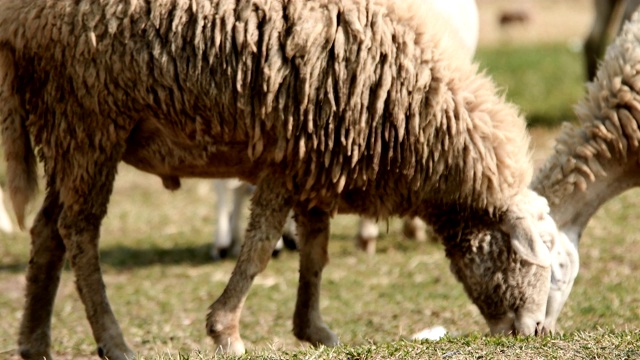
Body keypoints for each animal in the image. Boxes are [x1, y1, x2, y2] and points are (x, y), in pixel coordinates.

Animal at [0, 0, 556, 358]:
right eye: (528, 254)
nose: (532, 331)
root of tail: (18, 18)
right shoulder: (288, 158)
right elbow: (260, 249)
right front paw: (226, 331)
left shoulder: (316, 162)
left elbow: (315, 251)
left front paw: (314, 329)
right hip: (89, 120)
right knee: (80, 232)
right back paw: (113, 342)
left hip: (68, 131)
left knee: (48, 230)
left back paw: (34, 342)